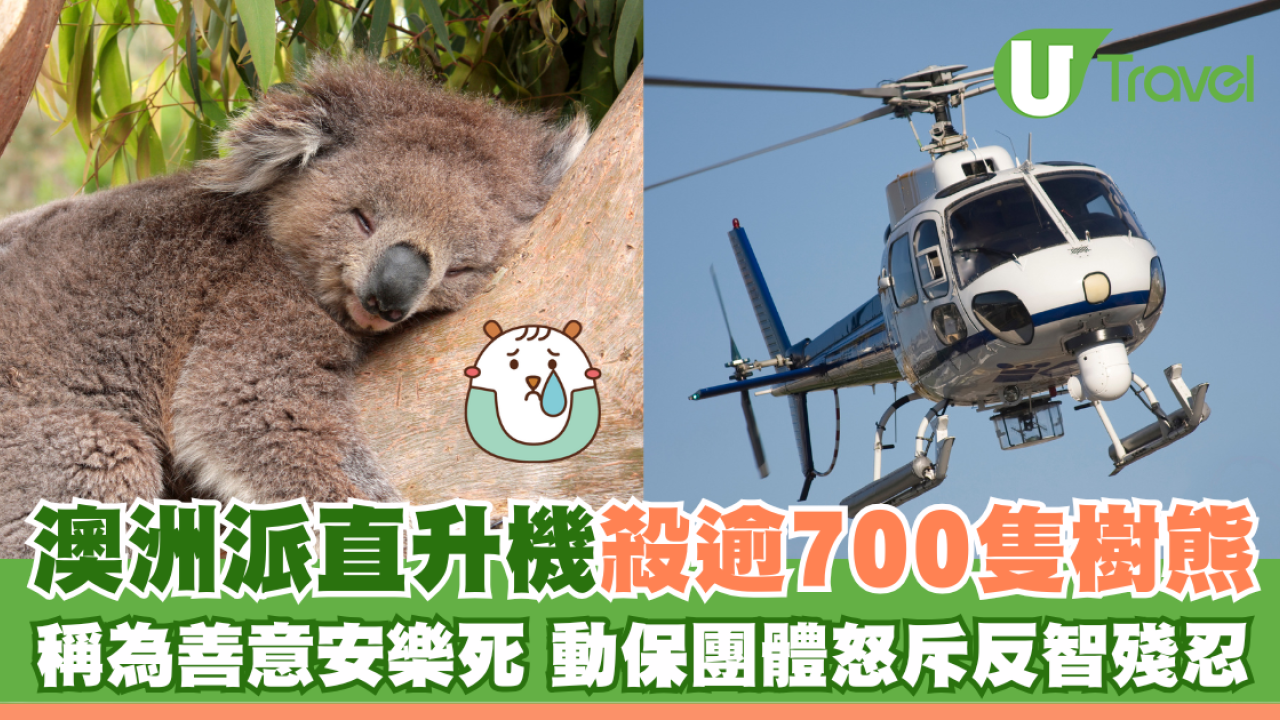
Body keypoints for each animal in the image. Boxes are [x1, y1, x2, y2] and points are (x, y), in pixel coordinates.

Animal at [0, 59, 590, 558]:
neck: (279, 244)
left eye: (461, 268)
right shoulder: (253, 299)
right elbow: (252, 406)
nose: (388, 299)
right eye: (362, 219)